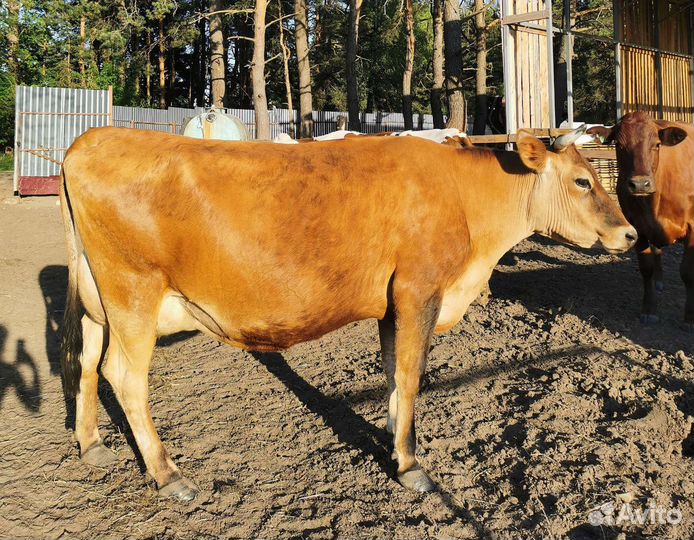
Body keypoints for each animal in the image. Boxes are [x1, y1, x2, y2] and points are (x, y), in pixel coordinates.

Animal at [59, 125, 636, 502]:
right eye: (583, 181)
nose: (629, 234)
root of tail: (93, 139)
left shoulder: (391, 304)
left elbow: (392, 374)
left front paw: (391, 438)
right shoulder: (419, 290)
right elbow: (411, 374)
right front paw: (410, 464)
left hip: (97, 300)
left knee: (85, 363)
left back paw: (91, 445)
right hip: (134, 290)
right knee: (123, 375)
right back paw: (168, 474)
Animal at [588, 113, 694, 325]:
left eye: (657, 145)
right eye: (619, 145)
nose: (640, 184)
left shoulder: (693, 227)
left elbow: (687, 272)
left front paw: (689, 318)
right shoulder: (639, 227)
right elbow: (646, 268)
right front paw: (648, 310)